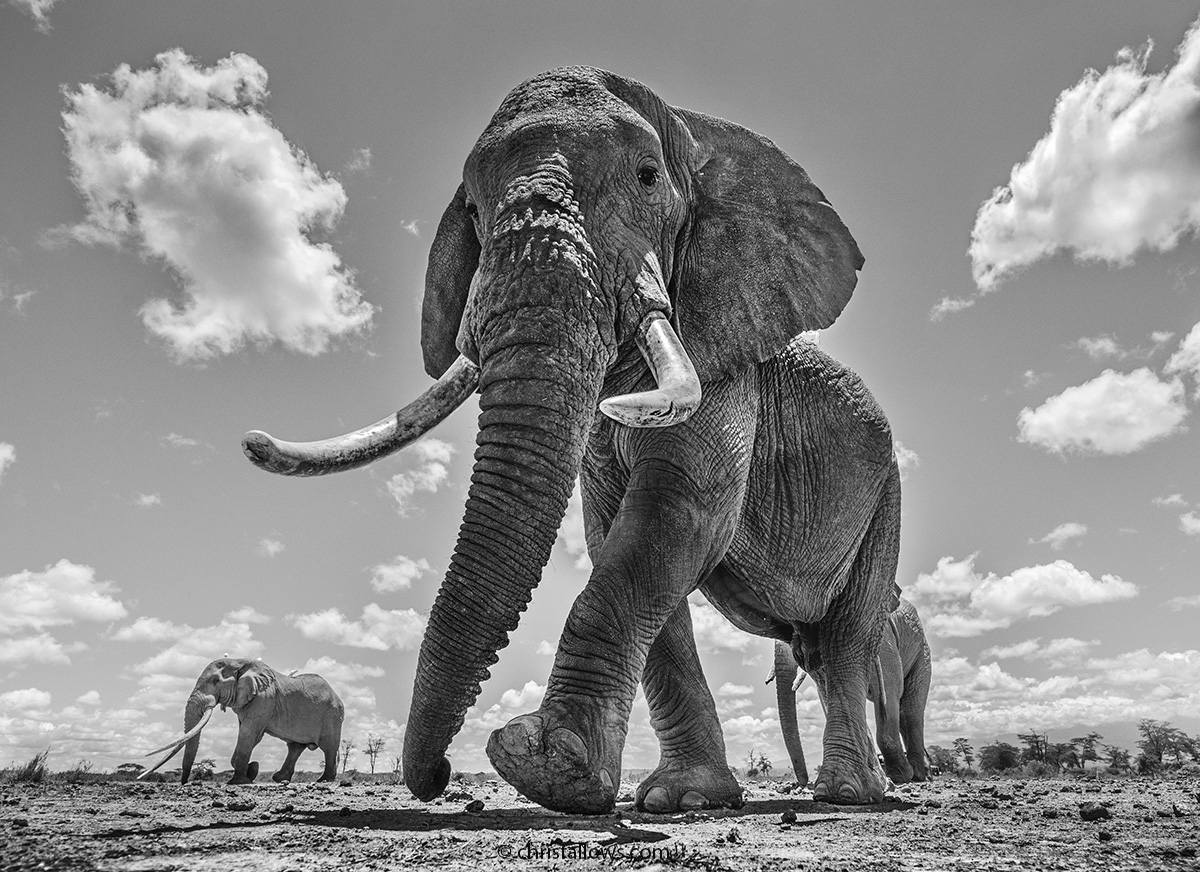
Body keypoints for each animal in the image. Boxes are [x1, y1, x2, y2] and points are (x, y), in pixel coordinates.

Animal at [142, 657, 348, 786]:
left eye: (216, 681)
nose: (185, 783)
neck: (240, 662)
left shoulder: (264, 699)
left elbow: (249, 733)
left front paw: (238, 781)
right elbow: (251, 736)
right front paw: (252, 770)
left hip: (332, 715)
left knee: (328, 747)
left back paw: (324, 780)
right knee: (295, 747)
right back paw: (279, 778)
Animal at [243, 64, 902, 815]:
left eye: (648, 177)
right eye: (473, 211)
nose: (438, 776)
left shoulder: (725, 366)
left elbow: (679, 516)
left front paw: (543, 768)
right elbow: (618, 533)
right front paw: (677, 798)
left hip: (886, 495)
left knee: (845, 637)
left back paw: (849, 795)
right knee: (816, 648)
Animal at [772, 597, 931, 786]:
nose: (804, 782)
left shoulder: (882, 640)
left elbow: (890, 689)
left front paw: (899, 776)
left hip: (922, 652)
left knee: (910, 710)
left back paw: (918, 774)